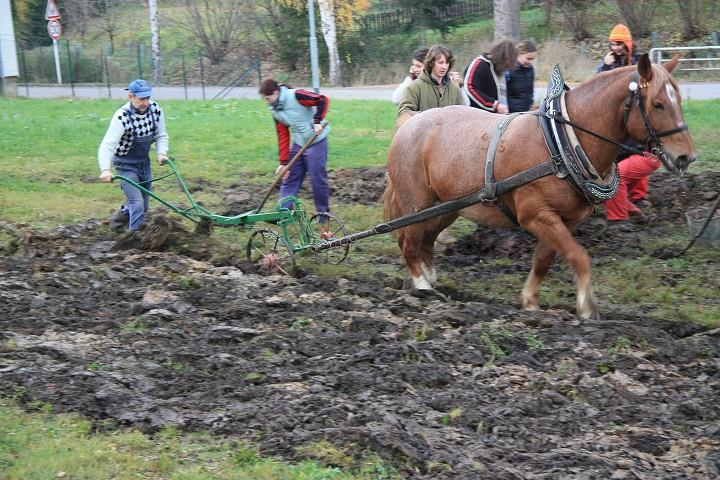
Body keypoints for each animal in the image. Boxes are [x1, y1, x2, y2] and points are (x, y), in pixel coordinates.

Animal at [386, 54, 696, 318]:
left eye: (678, 99)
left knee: (426, 240)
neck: (560, 143)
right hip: (416, 203)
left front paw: (530, 302)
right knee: (409, 242)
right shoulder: (536, 215)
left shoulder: (562, 220)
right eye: (657, 104)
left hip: (448, 207)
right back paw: (423, 288)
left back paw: (430, 280)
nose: (686, 157)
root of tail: (408, 124)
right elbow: (578, 256)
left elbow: (544, 260)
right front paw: (587, 307)